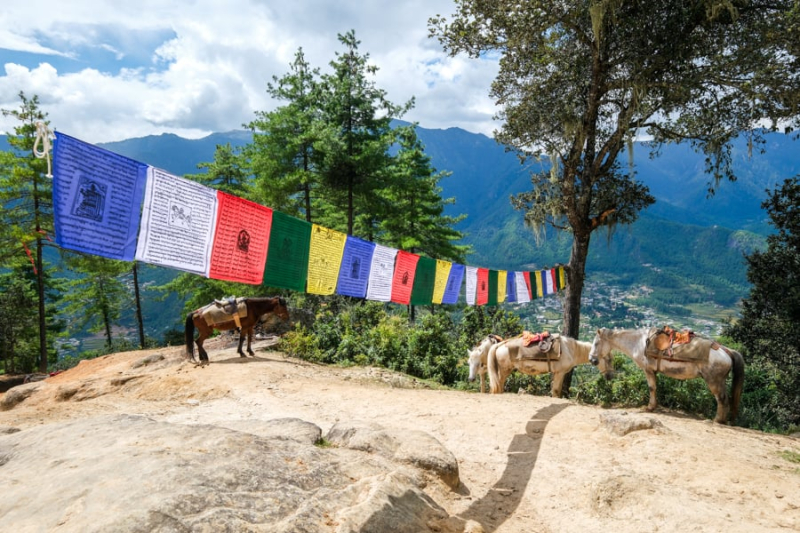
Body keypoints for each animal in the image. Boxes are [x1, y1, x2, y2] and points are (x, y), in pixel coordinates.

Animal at [584, 326, 748, 422]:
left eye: (596, 343)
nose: (591, 359)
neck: (639, 343)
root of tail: (725, 350)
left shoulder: (648, 370)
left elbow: (651, 388)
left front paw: (650, 407)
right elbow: (655, 388)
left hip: (714, 381)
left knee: (722, 399)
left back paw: (717, 420)